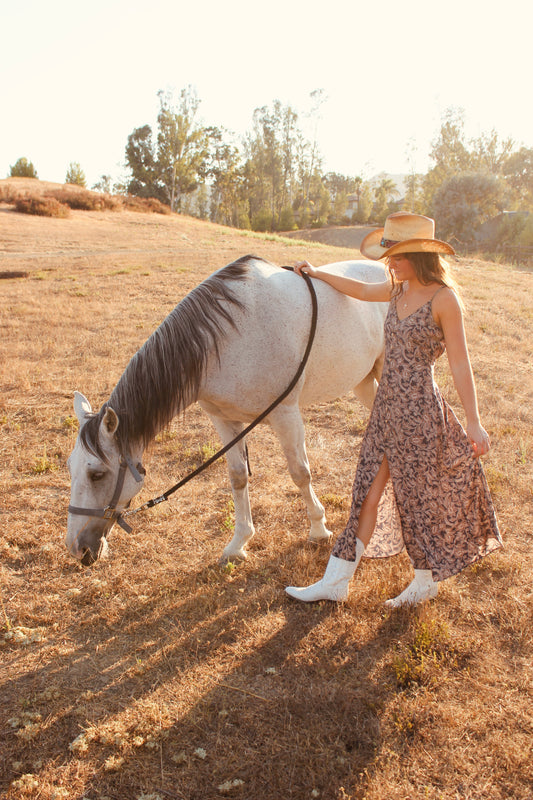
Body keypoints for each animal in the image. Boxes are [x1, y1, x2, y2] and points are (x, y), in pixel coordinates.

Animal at [65, 253, 386, 564]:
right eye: (71, 468)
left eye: (97, 475)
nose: (76, 548)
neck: (225, 339)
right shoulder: (224, 420)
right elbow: (238, 477)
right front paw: (239, 543)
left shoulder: (286, 415)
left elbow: (300, 473)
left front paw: (318, 529)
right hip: (363, 381)